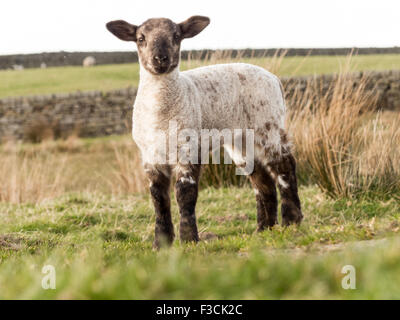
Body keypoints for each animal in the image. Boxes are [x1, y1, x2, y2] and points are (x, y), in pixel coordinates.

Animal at [106, 16, 304, 249]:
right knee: (262, 181)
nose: (160, 58)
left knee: (284, 166)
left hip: (267, 125)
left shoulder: (188, 147)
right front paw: (160, 243)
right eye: (140, 38)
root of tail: (274, 78)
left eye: (176, 36)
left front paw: (189, 239)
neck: (161, 114)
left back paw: (291, 220)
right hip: (242, 141)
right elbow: (158, 198)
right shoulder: (150, 156)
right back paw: (264, 229)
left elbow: (185, 193)